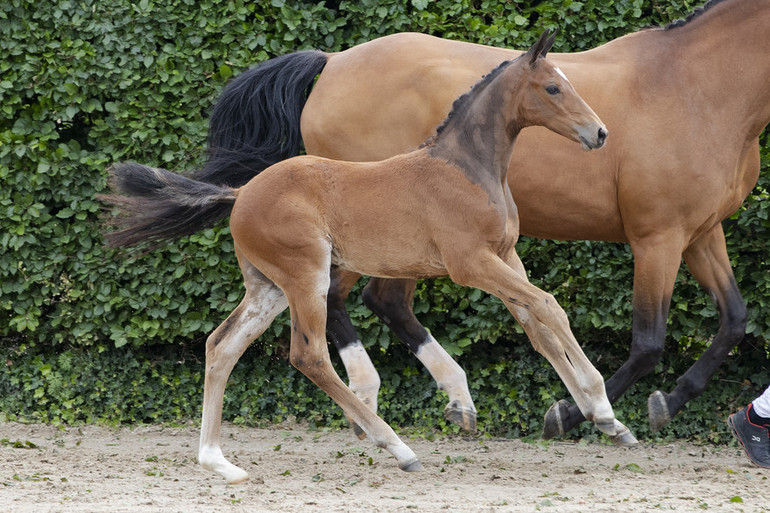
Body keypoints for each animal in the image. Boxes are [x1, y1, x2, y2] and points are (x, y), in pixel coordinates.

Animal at [102, 32, 632, 484]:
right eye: (553, 87)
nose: (600, 133)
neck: (467, 169)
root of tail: (241, 192)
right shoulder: (471, 264)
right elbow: (548, 305)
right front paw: (603, 407)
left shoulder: (505, 257)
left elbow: (539, 327)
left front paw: (602, 418)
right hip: (306, 277)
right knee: (309, 355)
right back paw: (397, 447)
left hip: (268, 287)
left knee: (222, 345)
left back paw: (219, 462)